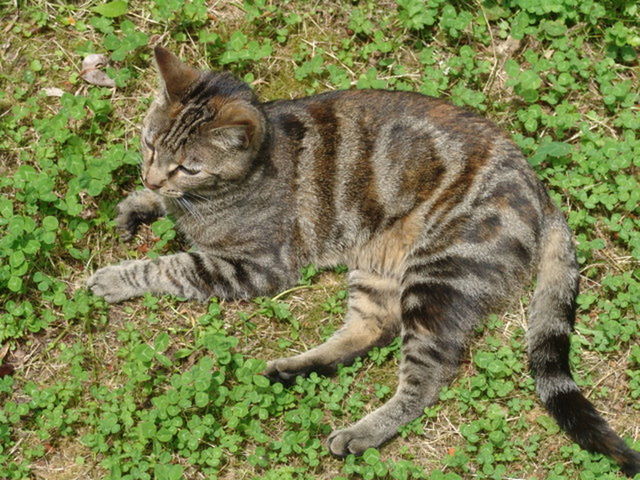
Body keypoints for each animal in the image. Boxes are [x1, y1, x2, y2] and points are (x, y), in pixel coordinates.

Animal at [86, 46, 640, 476]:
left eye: (188, 166)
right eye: (149, 143)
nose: (153, 175)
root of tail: (540, 190)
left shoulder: (254, 265)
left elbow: (169, 266)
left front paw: (114, 277)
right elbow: (160, 212)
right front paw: (138, 203)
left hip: (437, 275)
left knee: (426, 375)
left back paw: (362, 431)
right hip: (377, 270)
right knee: (371, 329)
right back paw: (292, 370)